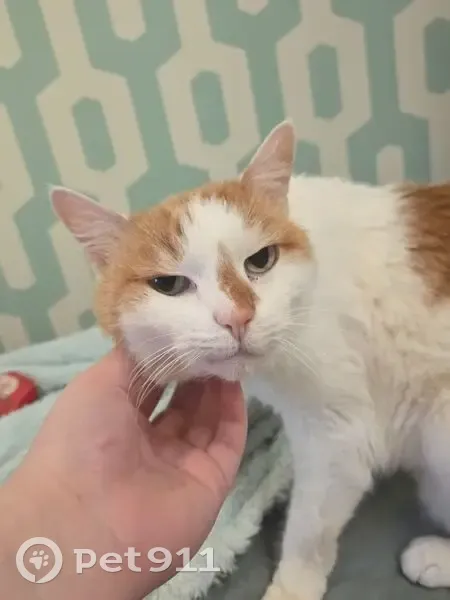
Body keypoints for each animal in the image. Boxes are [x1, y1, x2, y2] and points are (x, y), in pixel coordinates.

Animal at [51, 120, 450, 599]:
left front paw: (292, 587)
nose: (237, 317)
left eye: (261, 260)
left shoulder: (337, 434)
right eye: (168, 285)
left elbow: (309, 528)